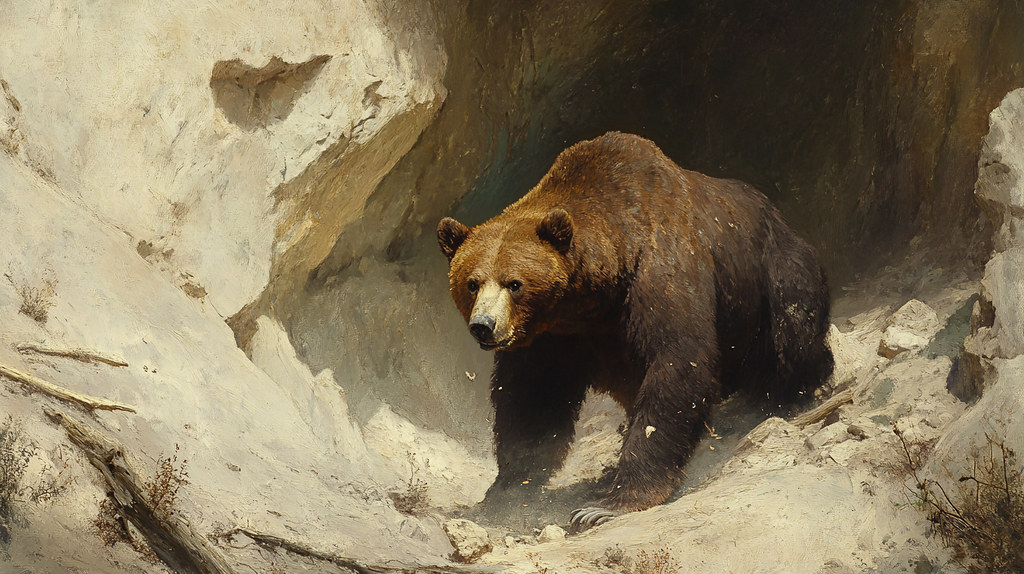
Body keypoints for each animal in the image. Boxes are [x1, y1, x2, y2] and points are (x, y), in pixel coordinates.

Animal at [437, 131, 833, 529]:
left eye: (514, 283)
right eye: (472, 283)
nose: (484, 326)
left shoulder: (661, 272)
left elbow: (678, 362)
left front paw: (606, 504)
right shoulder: (556, 335)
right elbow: (532, 398)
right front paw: (507, 489)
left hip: (775, 271)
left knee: (792, 329)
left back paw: (781, 395)